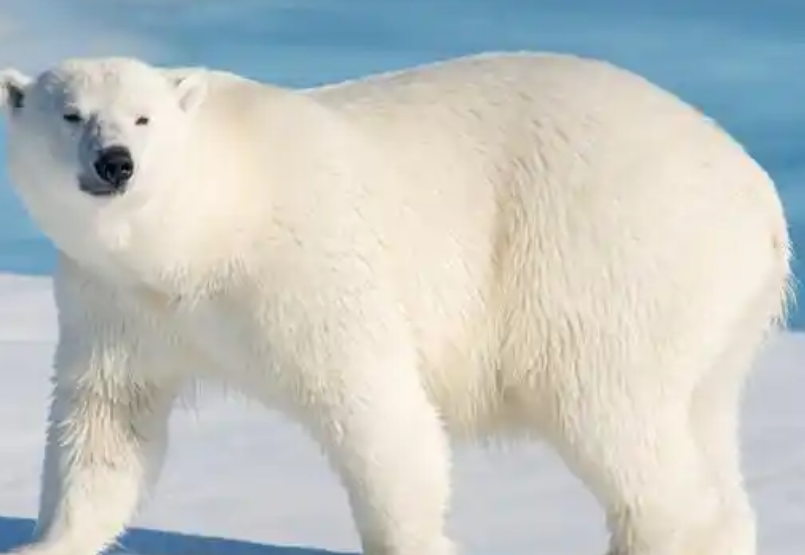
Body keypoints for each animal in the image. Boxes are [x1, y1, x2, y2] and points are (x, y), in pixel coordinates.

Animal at [0, 52, 793, 555]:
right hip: (714, 310)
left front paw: (419, 541)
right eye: (71, 114)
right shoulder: (117, 303)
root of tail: (760, 198)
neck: (207, 226)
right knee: (699, 420)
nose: (115, 164)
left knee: (611, 411)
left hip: (608, 258)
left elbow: (376, 406)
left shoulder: (307, 264)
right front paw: (49, 542)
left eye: (142, 119)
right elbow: (108, 424)